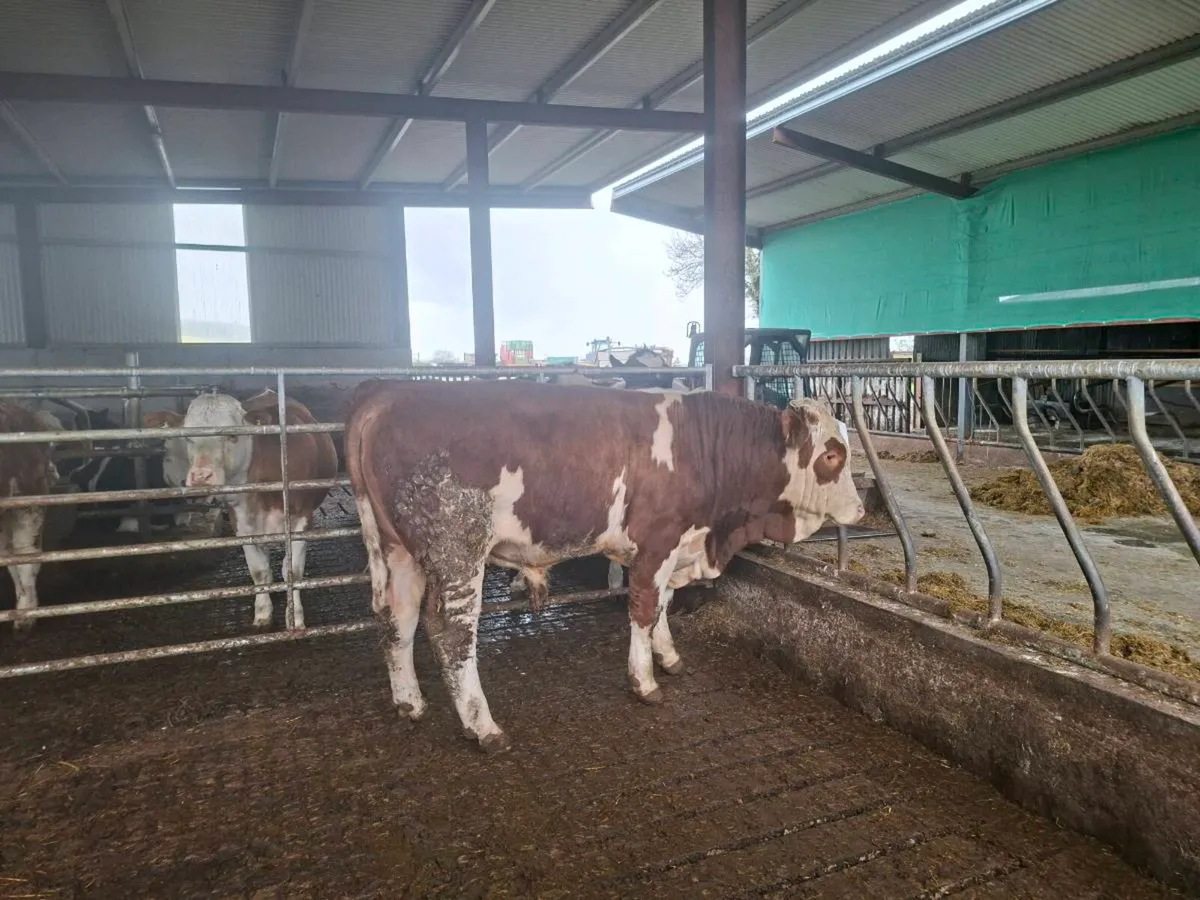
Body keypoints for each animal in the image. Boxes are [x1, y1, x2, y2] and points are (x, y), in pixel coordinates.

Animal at [181, 389, 338, 629]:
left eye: (232, 435)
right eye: (187, 438)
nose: (200, 477)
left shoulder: (302, 518)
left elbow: (292, 571)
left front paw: (295, 616)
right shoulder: (241, 523)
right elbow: (259, 571)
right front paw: (263, 612)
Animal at [346, 380, 864, 753]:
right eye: (831, 454)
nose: (860, 510)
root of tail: (387, 395)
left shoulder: (676, 546)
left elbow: (664, 604)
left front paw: (668, 656)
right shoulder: (657, 541)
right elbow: (644, 608)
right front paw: (644, 681)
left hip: (396, 550)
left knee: (396, 617)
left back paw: (410, 702)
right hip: (458, 550)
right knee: (451, 632)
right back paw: (483, 726)